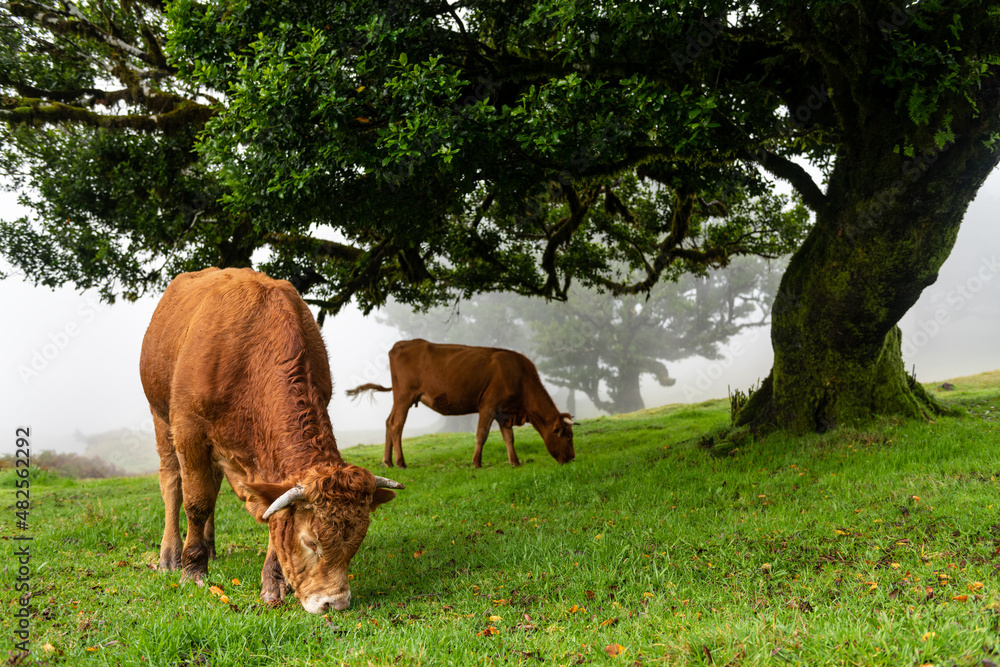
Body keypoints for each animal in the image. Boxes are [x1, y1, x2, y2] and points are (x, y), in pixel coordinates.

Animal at [139, 267, 403, 614]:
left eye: (357, 541)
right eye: (310, 541)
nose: (335, 602)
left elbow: (270, 514)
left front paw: (274, 582)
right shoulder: (189, 430)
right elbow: (196, 502)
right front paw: (193, 571)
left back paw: (210, 547)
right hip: (162, 418)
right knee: (172, 484)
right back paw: (171, 555)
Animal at [346, 339, 575, 469]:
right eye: (567, 436)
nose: (572, 458)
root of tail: (401, 344)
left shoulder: (504, 413)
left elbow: (509, 438)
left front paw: (515, 462)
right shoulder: (488, 405)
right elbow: (482, 435)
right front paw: (476, 463)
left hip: (401, 398)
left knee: (388, 422)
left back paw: (388, 461)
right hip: (404, 396)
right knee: (396, 425)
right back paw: (401, 462)